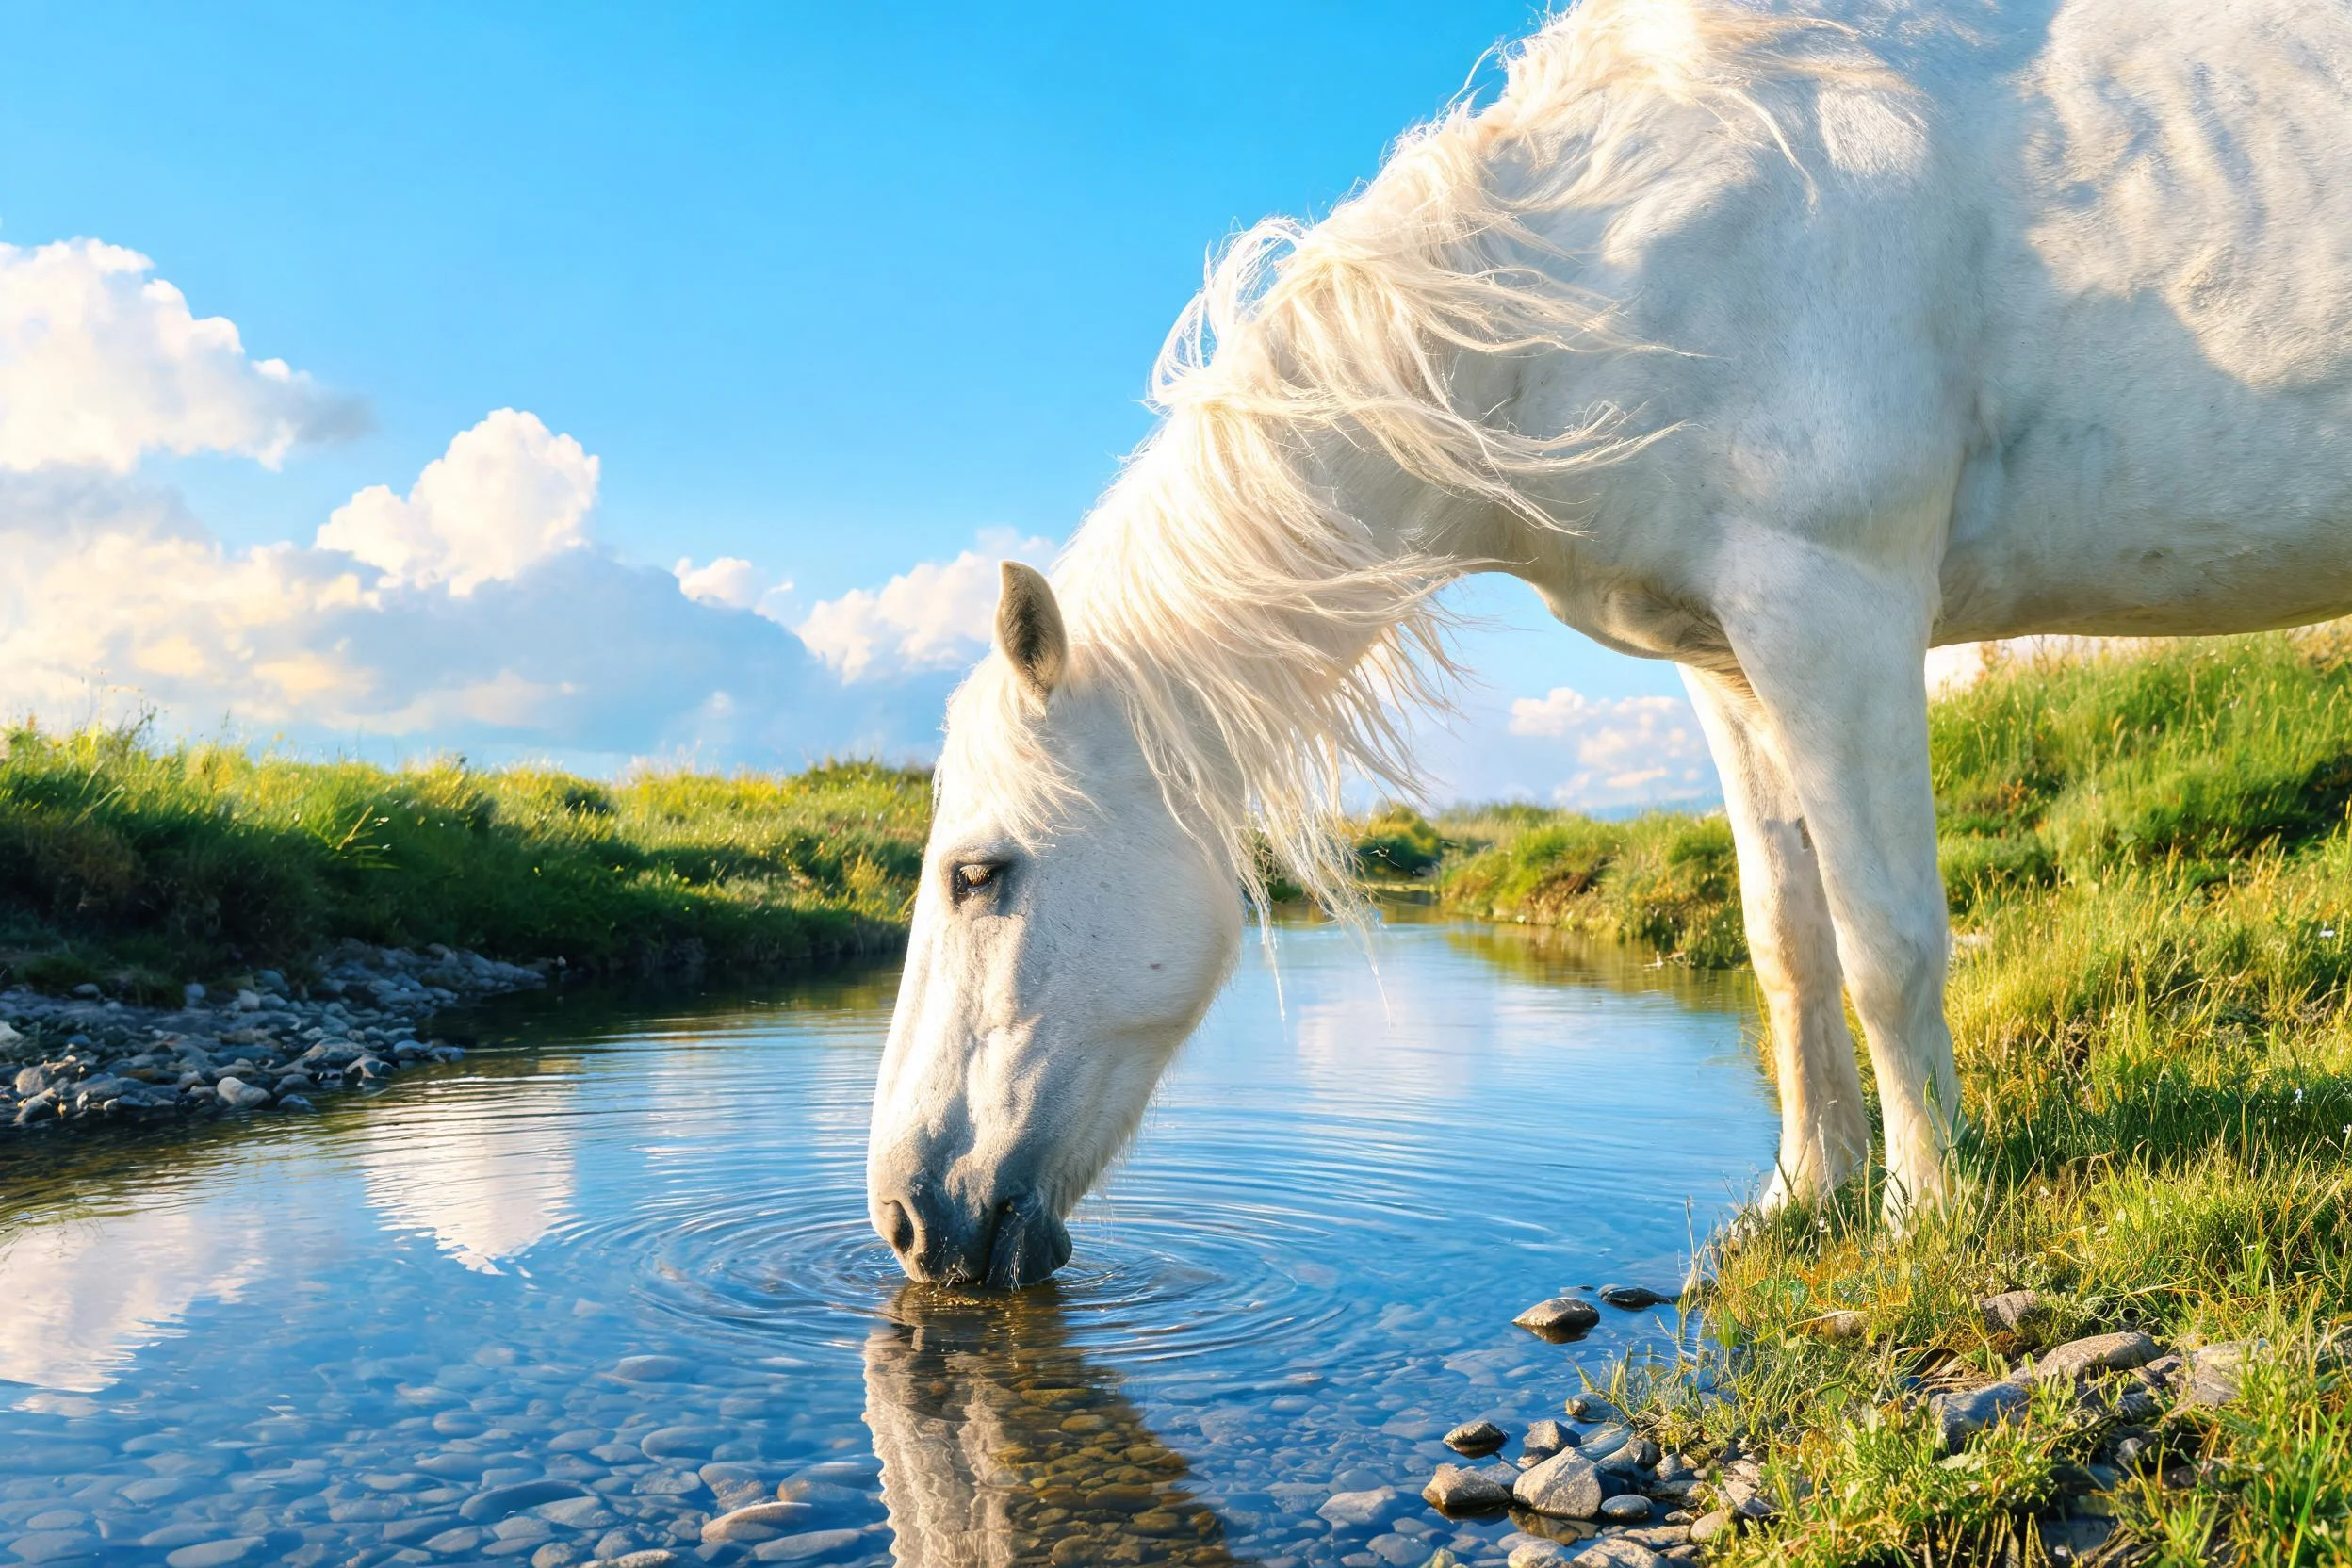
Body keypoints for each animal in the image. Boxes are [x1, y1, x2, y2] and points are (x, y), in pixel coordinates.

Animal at [866, 0, 2352, 1287]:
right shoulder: (1730, 663)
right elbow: (1784, 942)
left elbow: (1887, 942)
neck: (1618, 262)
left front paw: (1924, 1219)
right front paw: (1801, 1198)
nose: (906, 1219)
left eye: (979, 875)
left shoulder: (1839, 607)